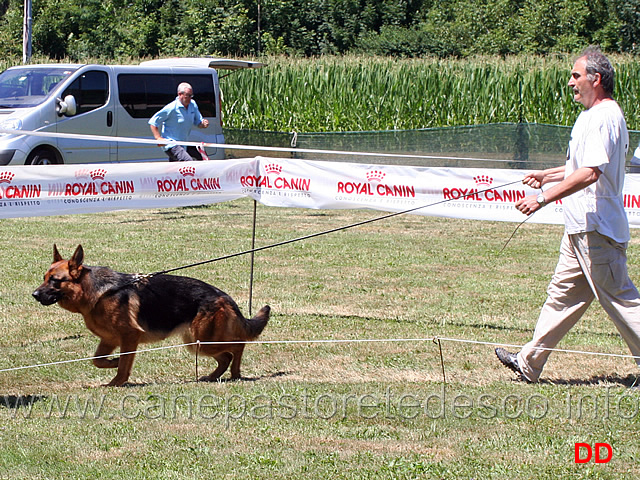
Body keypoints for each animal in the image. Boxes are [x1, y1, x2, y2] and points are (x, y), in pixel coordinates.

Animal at [31, 244, 270, 386]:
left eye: (55, 280)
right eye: (44, 278)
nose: (34, 294)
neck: (98, 291)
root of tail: (224, 296)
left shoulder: (129, 336)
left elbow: (124, 364)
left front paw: (116, 382)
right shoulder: (109, 339)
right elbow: (98, 360)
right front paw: (113, 362)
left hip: (203, 341)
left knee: (237, 346)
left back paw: (235, 373)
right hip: (196, 342)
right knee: (225, 356)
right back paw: (212, 377)